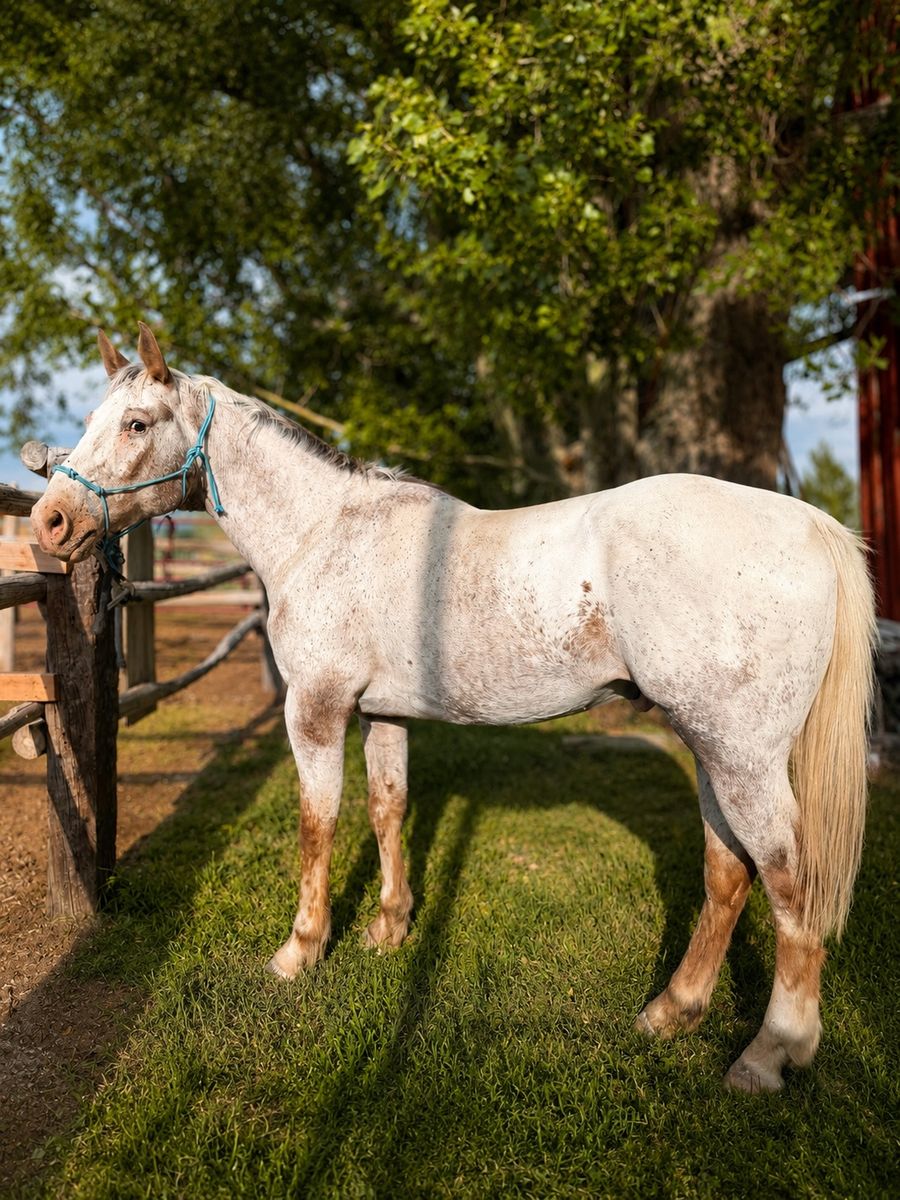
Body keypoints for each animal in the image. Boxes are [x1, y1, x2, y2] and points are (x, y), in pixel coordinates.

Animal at [31, 324, 876, 1093]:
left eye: (137, 424)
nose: (50, 523)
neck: (325, 534)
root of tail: (808, 524)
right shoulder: (382, 715)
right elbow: (388, 807)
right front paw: (389, 928)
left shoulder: (316, 709)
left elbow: (317, 824)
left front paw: (300, 951)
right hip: (710, 750)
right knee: (727, 876)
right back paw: (672, 1012)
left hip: (743, 761)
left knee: (790, 888)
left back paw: (769, 1054)